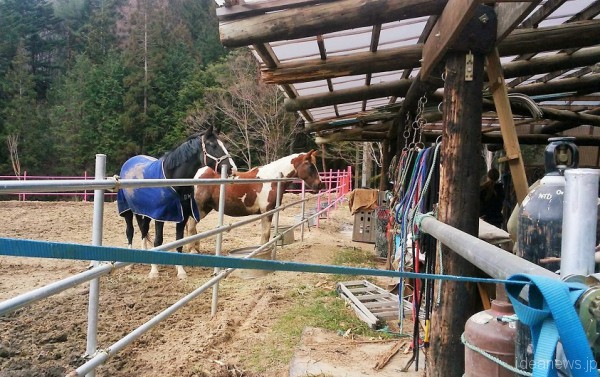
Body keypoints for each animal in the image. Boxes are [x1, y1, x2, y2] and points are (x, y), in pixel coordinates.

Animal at [116, 125, 236, 278]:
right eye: (213, 145)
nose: (232, 168)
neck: (172, 179)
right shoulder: (160, 216)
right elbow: (158, 241)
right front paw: (154, 271)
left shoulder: (182, 216)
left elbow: (179, 241)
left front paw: (181, 271)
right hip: (127, 211)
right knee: (130, 231)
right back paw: (129, 265)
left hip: (144, 211)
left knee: (144, 229)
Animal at [188, 150, 326, 253]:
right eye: (310, 166)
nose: (320, 184)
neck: (272, 179)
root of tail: (198, 174)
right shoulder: (267, 211)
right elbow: (265, 234)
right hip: (200, 207)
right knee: (191, 225)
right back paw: (192, 250)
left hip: (206, 208)